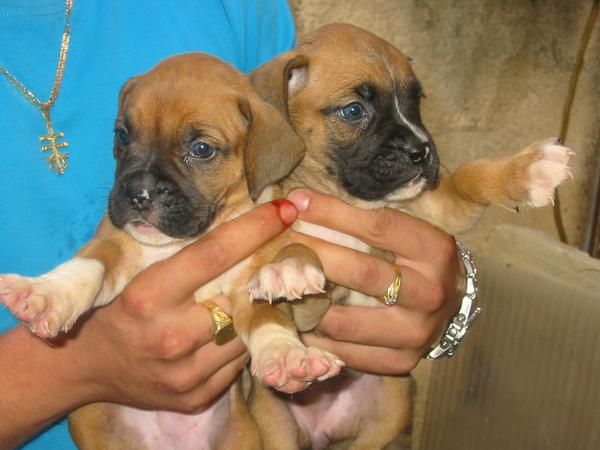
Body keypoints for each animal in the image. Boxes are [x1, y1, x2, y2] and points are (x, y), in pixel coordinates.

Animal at [0, 53, 340, 450]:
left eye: (201, 149)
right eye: (123, 135)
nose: (137, 193)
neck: (190, 239)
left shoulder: (253, 287)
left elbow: (268, 315)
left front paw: (286, 349)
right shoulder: (117, 243)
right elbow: (90, 264)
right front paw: (46, 294)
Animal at [246, 24, 576, 450]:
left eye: (415, 100)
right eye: (354, 110)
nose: (422, 150)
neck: (352, 201)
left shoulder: (438, 205)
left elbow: (470, 176)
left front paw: (528, 169)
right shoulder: (310, 313)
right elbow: (302, 247)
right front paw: (289, 268)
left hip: (393, 403)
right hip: (274, 425)